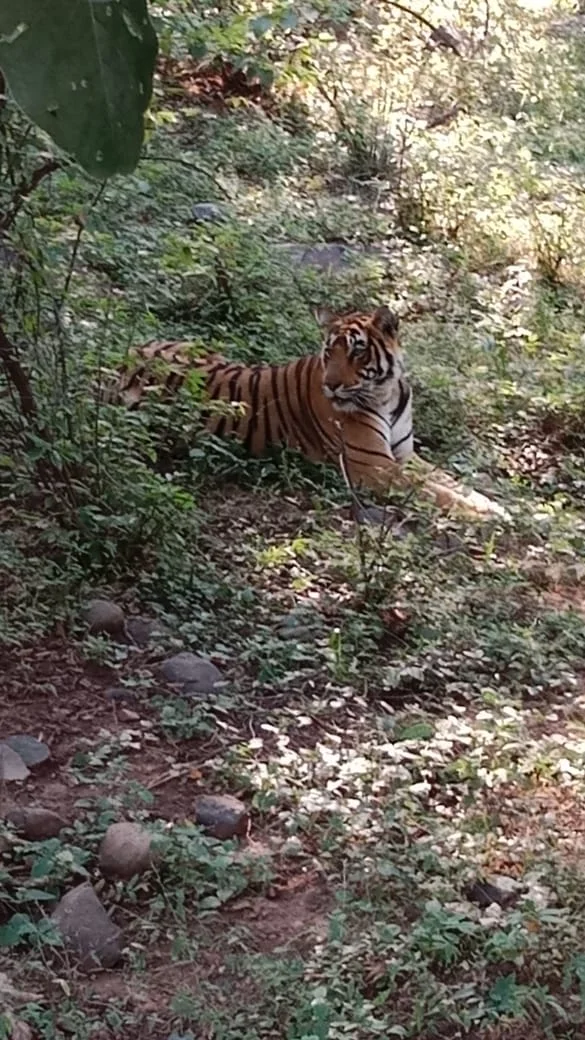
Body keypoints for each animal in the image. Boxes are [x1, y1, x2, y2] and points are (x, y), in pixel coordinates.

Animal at [104, 305, 509, 520]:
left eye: (357, 350)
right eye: (329, 352)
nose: (332, 385)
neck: (386, 394)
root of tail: (124, 358)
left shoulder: (404, 456)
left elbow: (448, 481)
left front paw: (494, 505)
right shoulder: (374, 468)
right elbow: (433, 492)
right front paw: (487, 517)